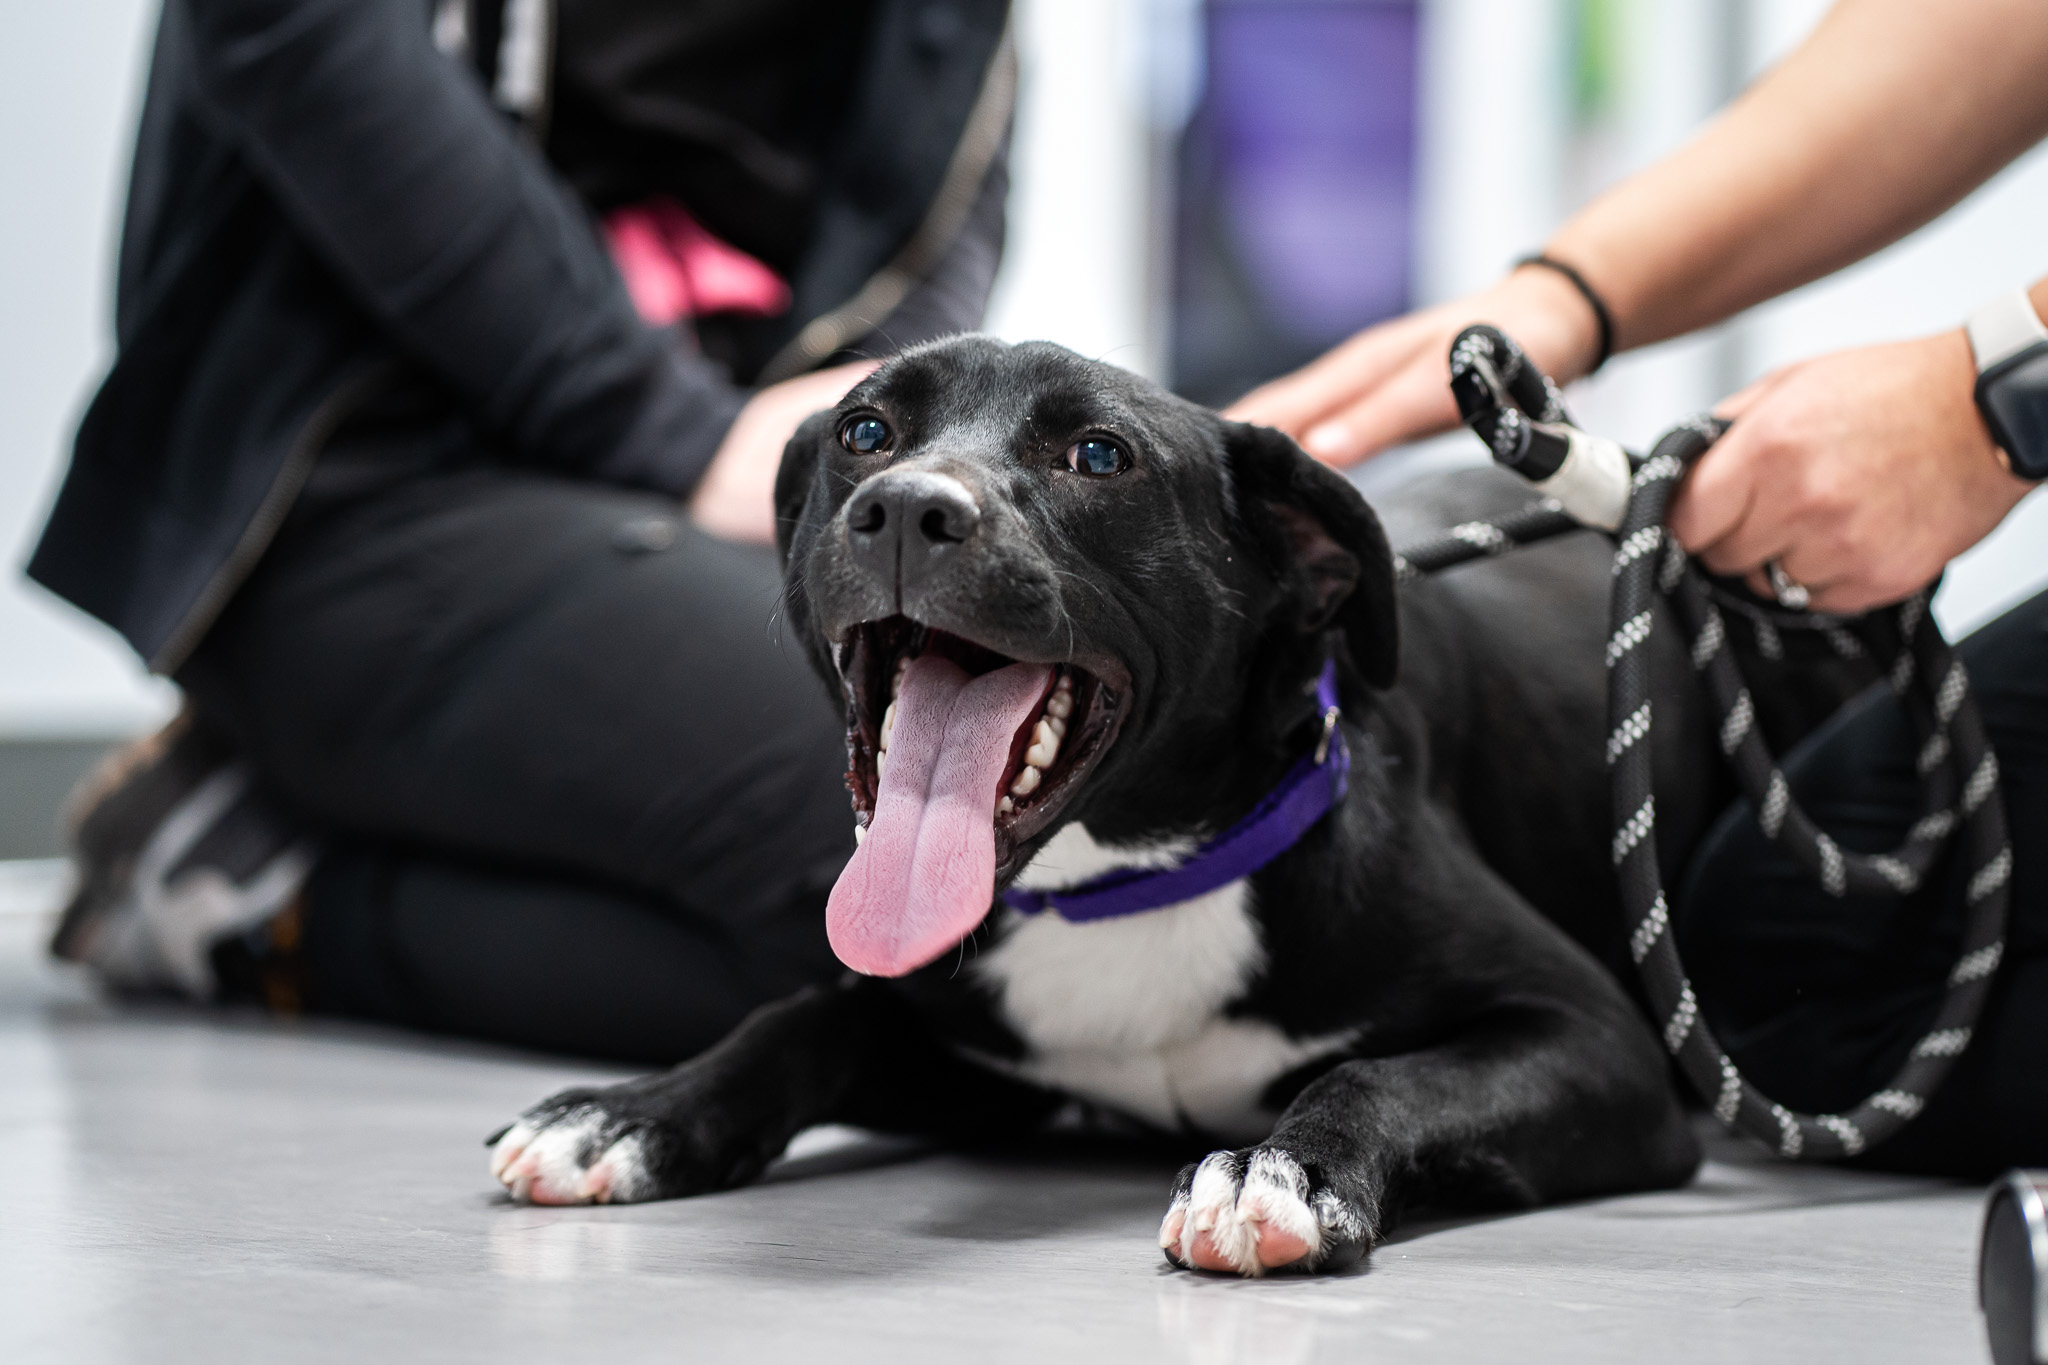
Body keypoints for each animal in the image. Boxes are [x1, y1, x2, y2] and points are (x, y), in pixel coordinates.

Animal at [483, 335, 1777, 1277]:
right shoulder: (985, 1067)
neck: (1127, 883)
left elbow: (1384, 1075)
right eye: (864, 431)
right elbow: (803, 1020)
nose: (903, 508)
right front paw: (629, 1115)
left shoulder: (1593, 1039)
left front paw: (1282, 1170)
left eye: (1098, 458)